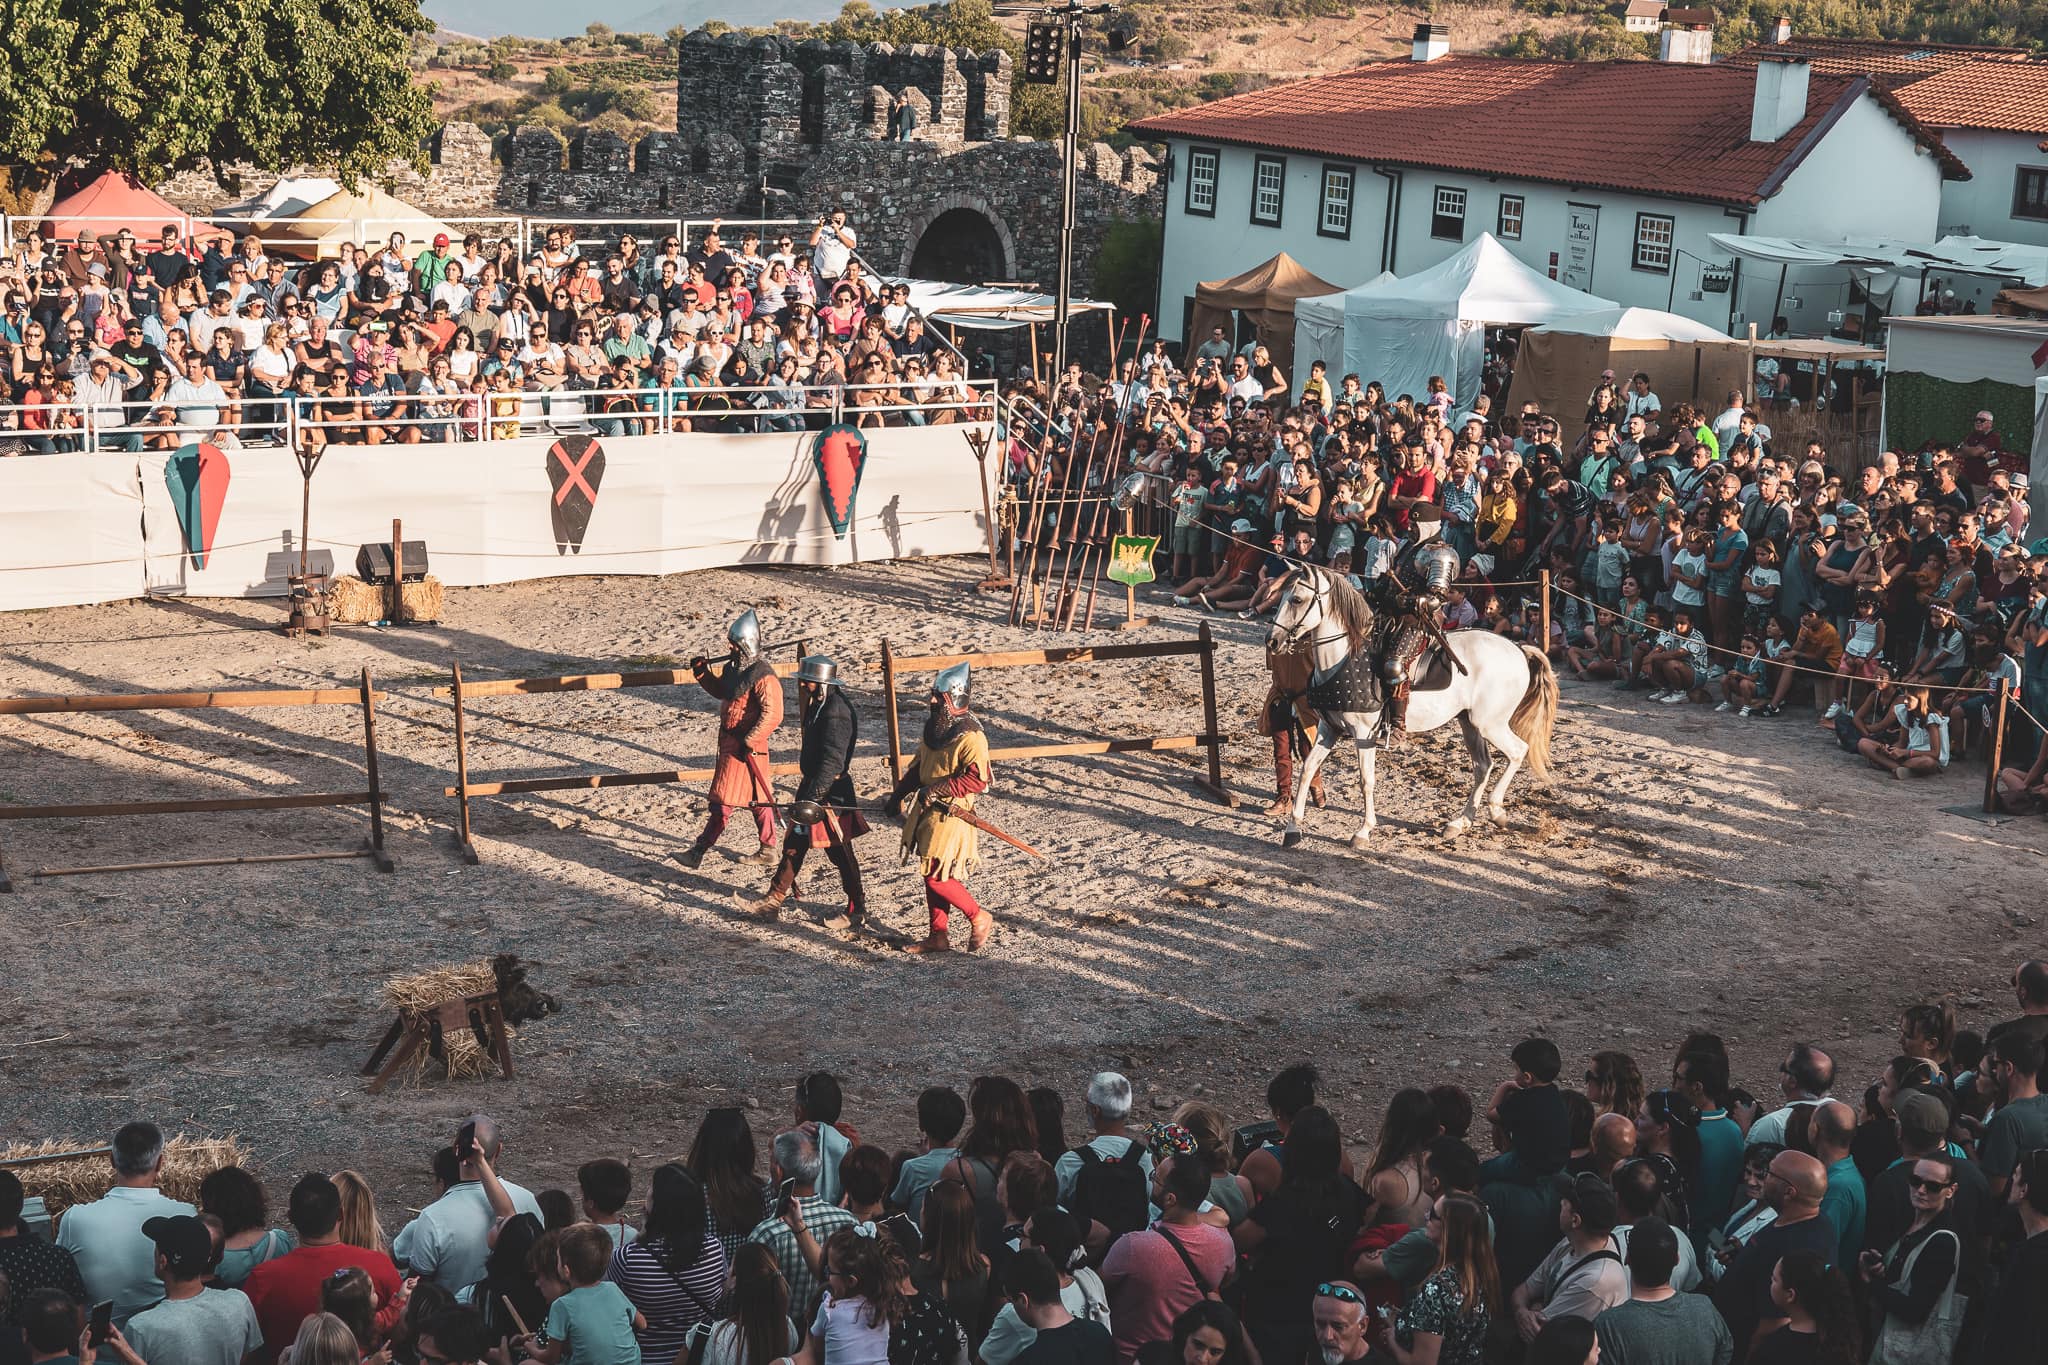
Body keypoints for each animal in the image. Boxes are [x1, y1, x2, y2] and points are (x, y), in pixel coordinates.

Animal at [1261, 564, 1548, 843]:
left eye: (1297, 599)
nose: (1272, 640)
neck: (1343, 656)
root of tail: (1519, 650)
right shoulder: (1328, 728)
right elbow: (1308, 769)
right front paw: (1293, 828)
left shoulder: (1364, 734)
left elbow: (1366, 780)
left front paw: (1363, 831)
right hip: (1469, 722)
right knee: (1483, 766)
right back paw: (1460, 823)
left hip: (1490, 723)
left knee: (1518, 751)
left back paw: (1496, 809)